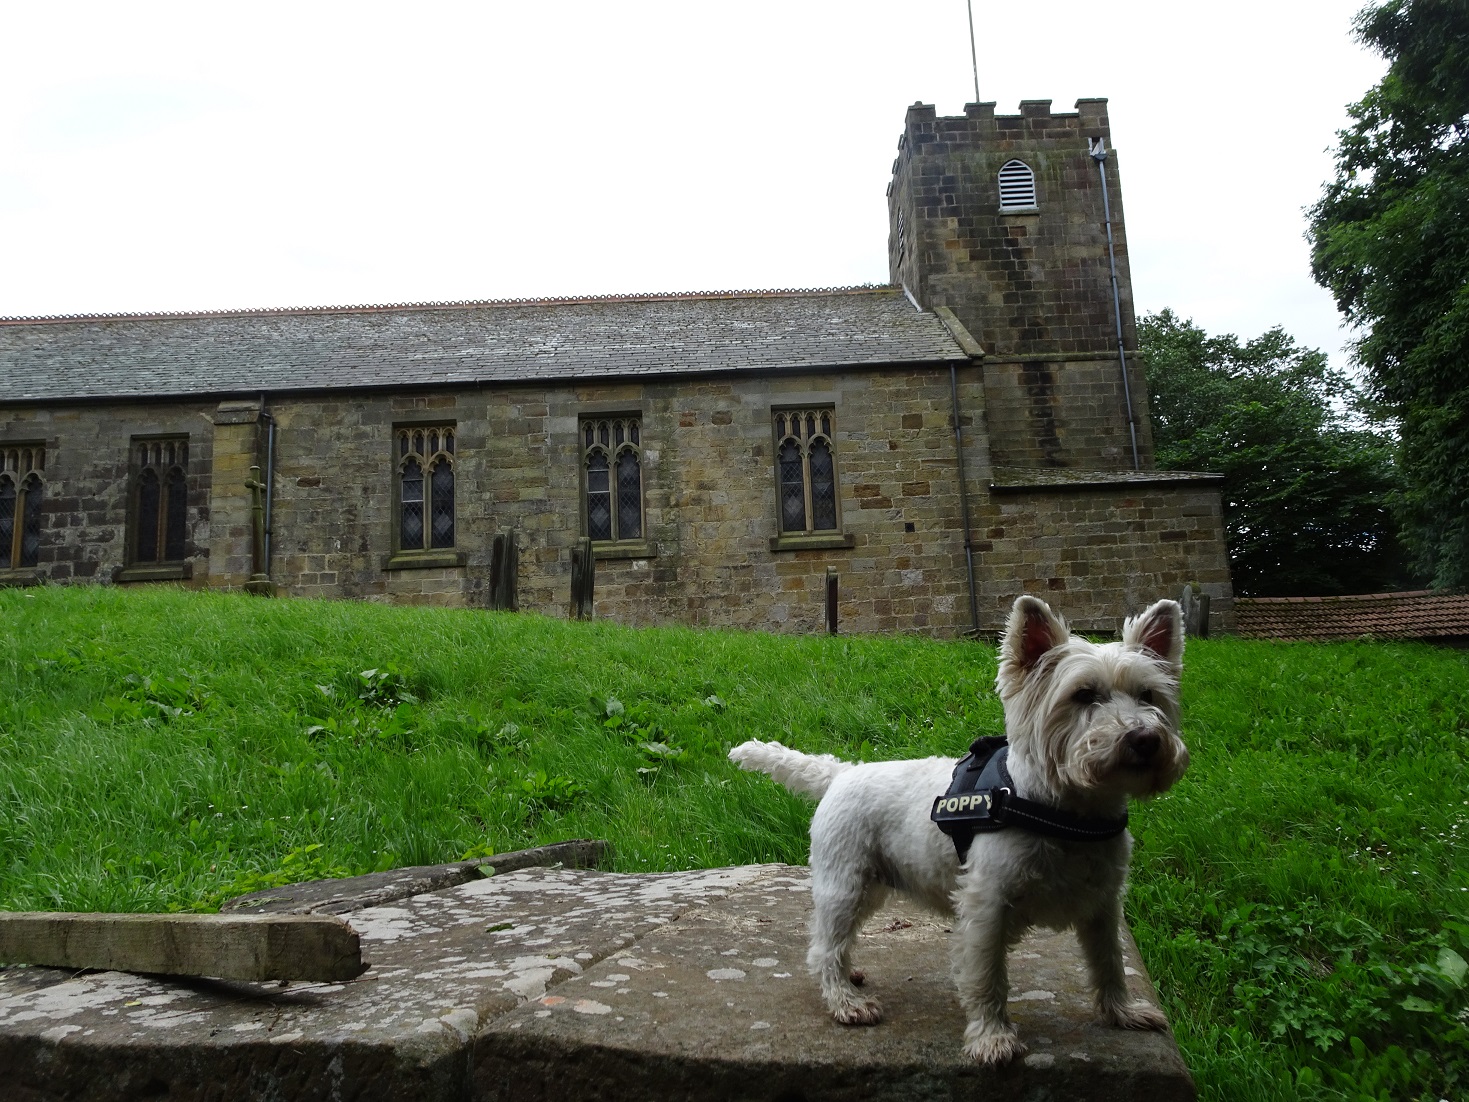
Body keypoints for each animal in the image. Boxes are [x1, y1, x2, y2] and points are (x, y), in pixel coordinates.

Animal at [728, 599, 1186, 1063]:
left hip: (872, 885)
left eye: (1148, 695)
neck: (1068, 812)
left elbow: (1110, 963)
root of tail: (841, 772)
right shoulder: (987, 904)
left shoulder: (1103, 904)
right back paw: (846, 1002)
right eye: (1084, 694)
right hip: (845, 882)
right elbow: (987, 976)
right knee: (825, 946)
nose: (1146, 739)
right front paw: (992, 1038)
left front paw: (1123, 1013)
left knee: (838, 940)